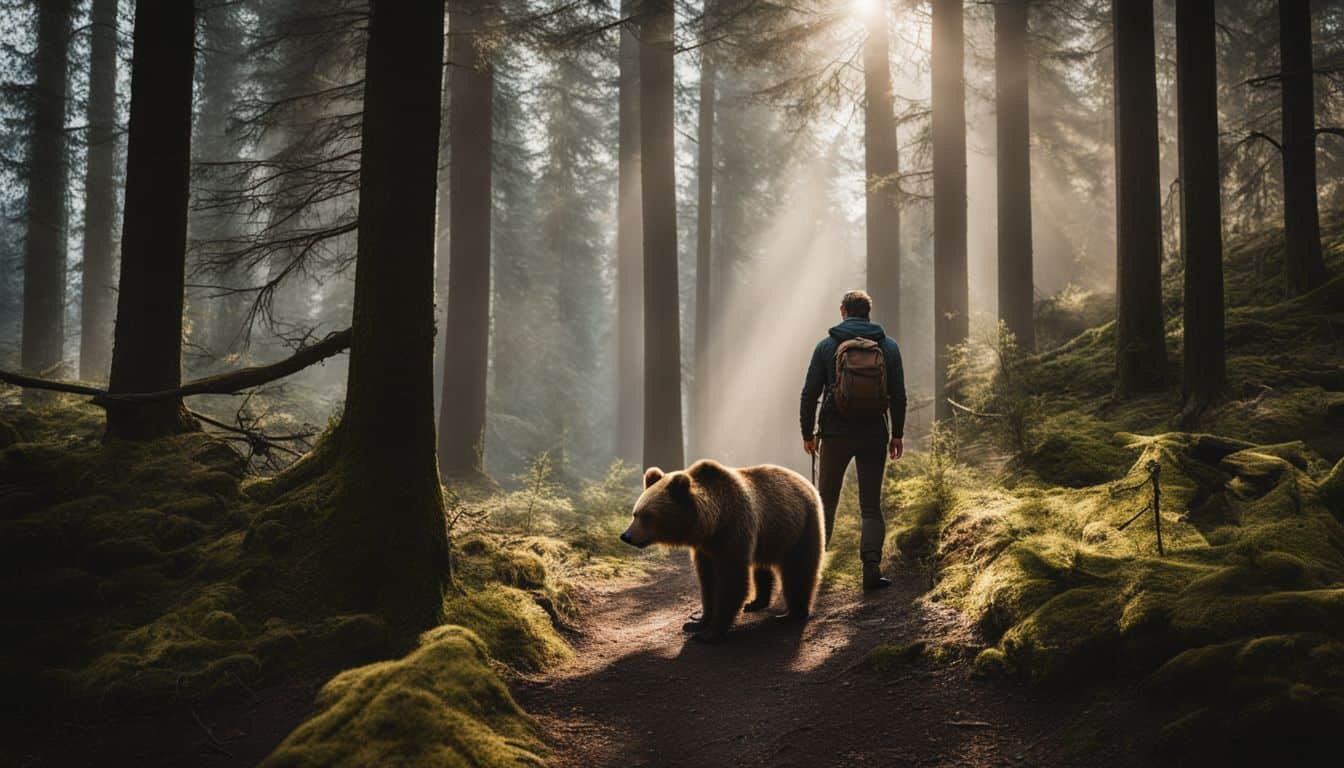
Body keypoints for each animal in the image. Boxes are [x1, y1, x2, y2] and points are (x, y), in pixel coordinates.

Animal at [620, 457, 827, 642]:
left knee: (799, 569)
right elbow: (708, 581)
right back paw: (756, 603)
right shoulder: (706, 548)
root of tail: (806, 481)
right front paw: (697, 621)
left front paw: (709, 633)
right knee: (762, 567)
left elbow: (732, 580)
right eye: (635, 513)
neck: (714, 523)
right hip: (768, 536)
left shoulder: (734, 531)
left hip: (801, 526)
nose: (626, 536)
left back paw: (793, 614)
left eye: (647, 516)